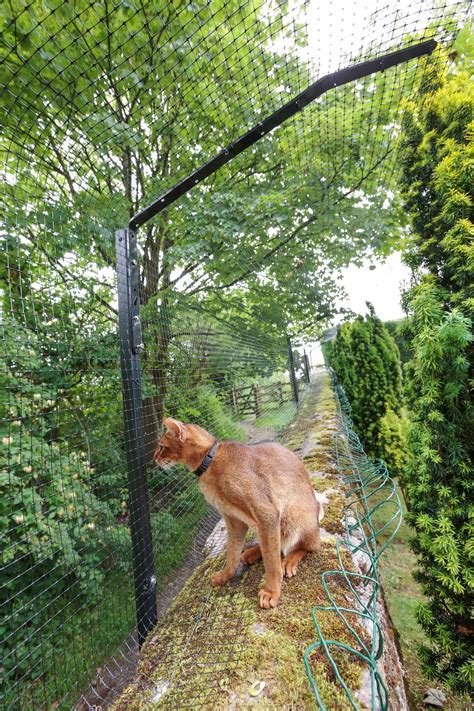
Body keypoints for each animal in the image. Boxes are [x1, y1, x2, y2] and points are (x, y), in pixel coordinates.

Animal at [154, 420, 320, 608]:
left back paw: (289, 561)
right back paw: (252, 553)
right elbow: (232, 551)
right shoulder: (234, 519)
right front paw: (224, 576)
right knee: (272, 545)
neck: (209, 462)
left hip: (295, 517)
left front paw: (272, 592)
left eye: (161, 447)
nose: (154, 457)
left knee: (309, 545)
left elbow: (271, 563)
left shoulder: (266, 513)